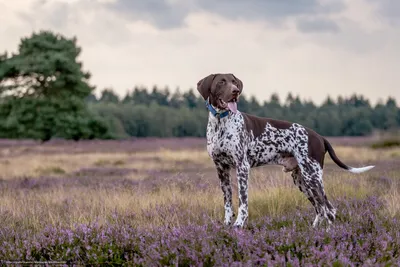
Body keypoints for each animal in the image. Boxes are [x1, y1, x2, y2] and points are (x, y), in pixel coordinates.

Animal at [197, 73, 376, 228]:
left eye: (234, 82)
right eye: (221, 82)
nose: (235, 91)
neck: (220, 122)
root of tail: (319, 137)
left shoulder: (242, 168)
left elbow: (243, 201)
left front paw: (239, 225)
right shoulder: (221, 169)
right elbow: (227, 201)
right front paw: (226, 224)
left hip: (313, 177)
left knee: (329, 209)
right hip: (302, 180)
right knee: (320, 209)